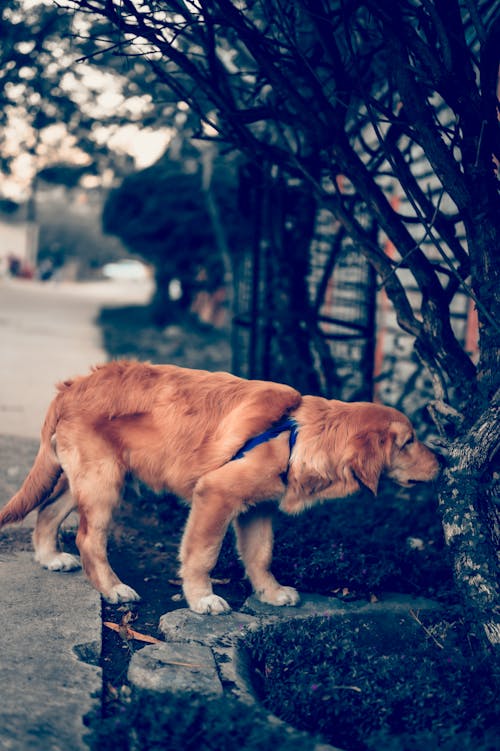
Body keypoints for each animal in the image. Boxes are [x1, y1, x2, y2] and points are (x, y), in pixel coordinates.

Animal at [0, 362, 438, 612]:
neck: (297, 434)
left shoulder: (259, 509)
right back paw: (113, 589)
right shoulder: (216, 495)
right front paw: (202, 598)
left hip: (91, 477)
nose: (444, 462)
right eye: (409, 441)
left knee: (47, 512)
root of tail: (74, 385)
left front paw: (270, 593)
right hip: (102, 481)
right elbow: (203, 554)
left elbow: (261, 556)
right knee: (89, 539)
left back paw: (50, 557)